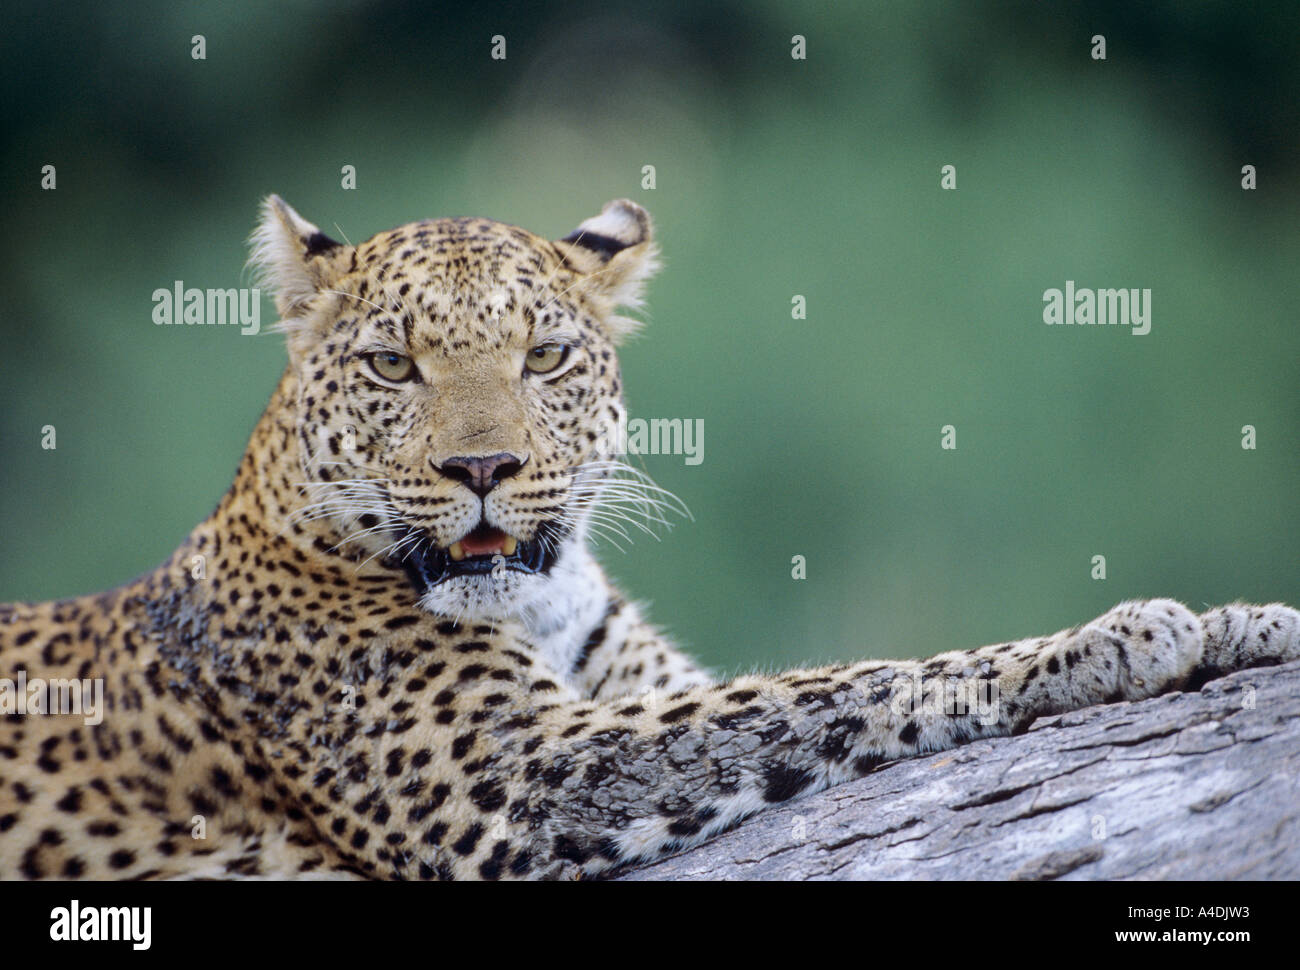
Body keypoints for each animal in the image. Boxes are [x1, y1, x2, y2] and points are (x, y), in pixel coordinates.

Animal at [1, 195, 1297, 880]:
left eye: (544, 356)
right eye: (391, 365)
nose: (482, 469)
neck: (538, 602)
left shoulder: (622, 689)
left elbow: (786, 692)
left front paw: (1244, 620)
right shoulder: (514, 775)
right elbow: (830, 687)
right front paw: (1110, 638)